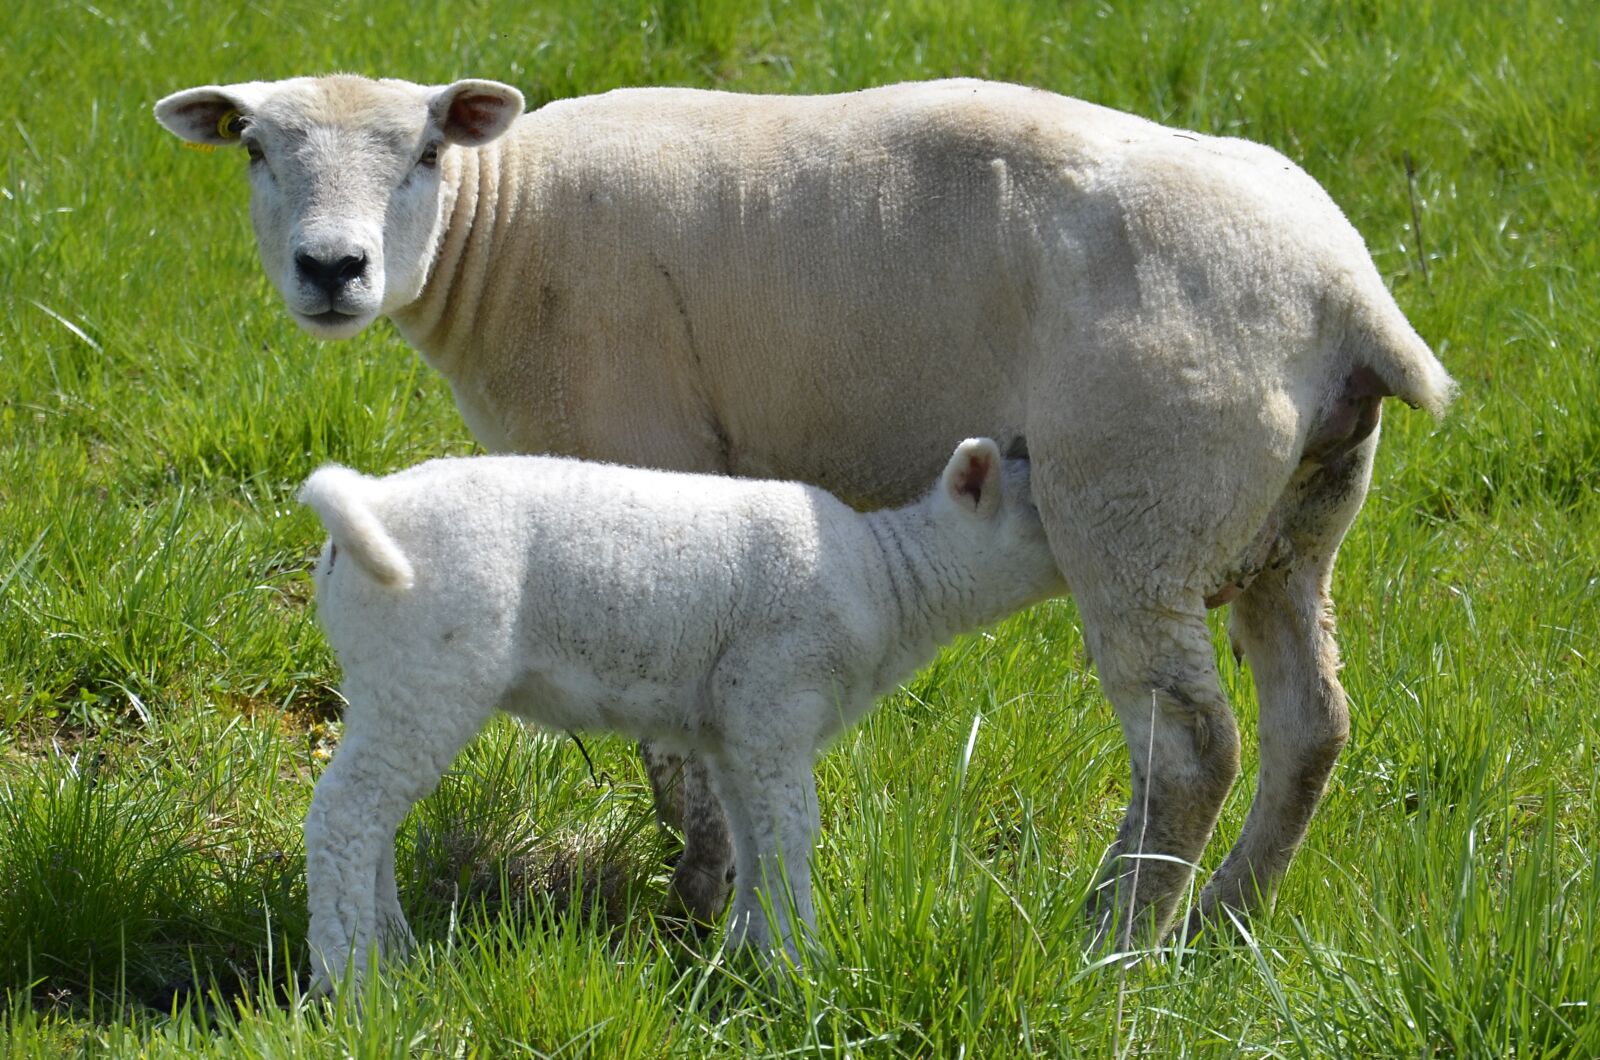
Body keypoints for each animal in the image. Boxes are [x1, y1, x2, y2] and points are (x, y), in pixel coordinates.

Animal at [297, 437, 1065, 993]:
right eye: (1042, 511)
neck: (890, 584)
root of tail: (368, 504)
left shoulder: (736, 732)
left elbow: (753, 840)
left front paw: (748, 955)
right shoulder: (776, 701)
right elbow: (793, 835)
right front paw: (802, 968)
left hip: (387, 677)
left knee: (373, 818)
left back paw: (394, 951)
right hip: (428, 668)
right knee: (344, 817)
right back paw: (351, 982)